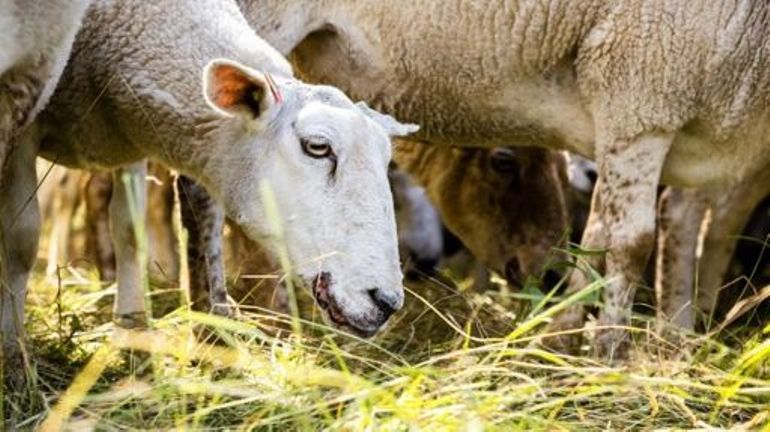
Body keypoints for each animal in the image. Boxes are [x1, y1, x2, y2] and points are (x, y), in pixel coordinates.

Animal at [1, 0, 420, 382]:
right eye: (317, 147)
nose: (386, 302)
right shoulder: (28, 113)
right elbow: (21, 239)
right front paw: (14, 356)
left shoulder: (129, 136)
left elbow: (129, 232)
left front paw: (135, 339)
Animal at [238, 0, 768, 358]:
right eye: (503, 162)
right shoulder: (642, 92)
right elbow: (626, 241)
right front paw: (598, 356)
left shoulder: (695, 138)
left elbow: (680, 229)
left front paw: (665, 345)